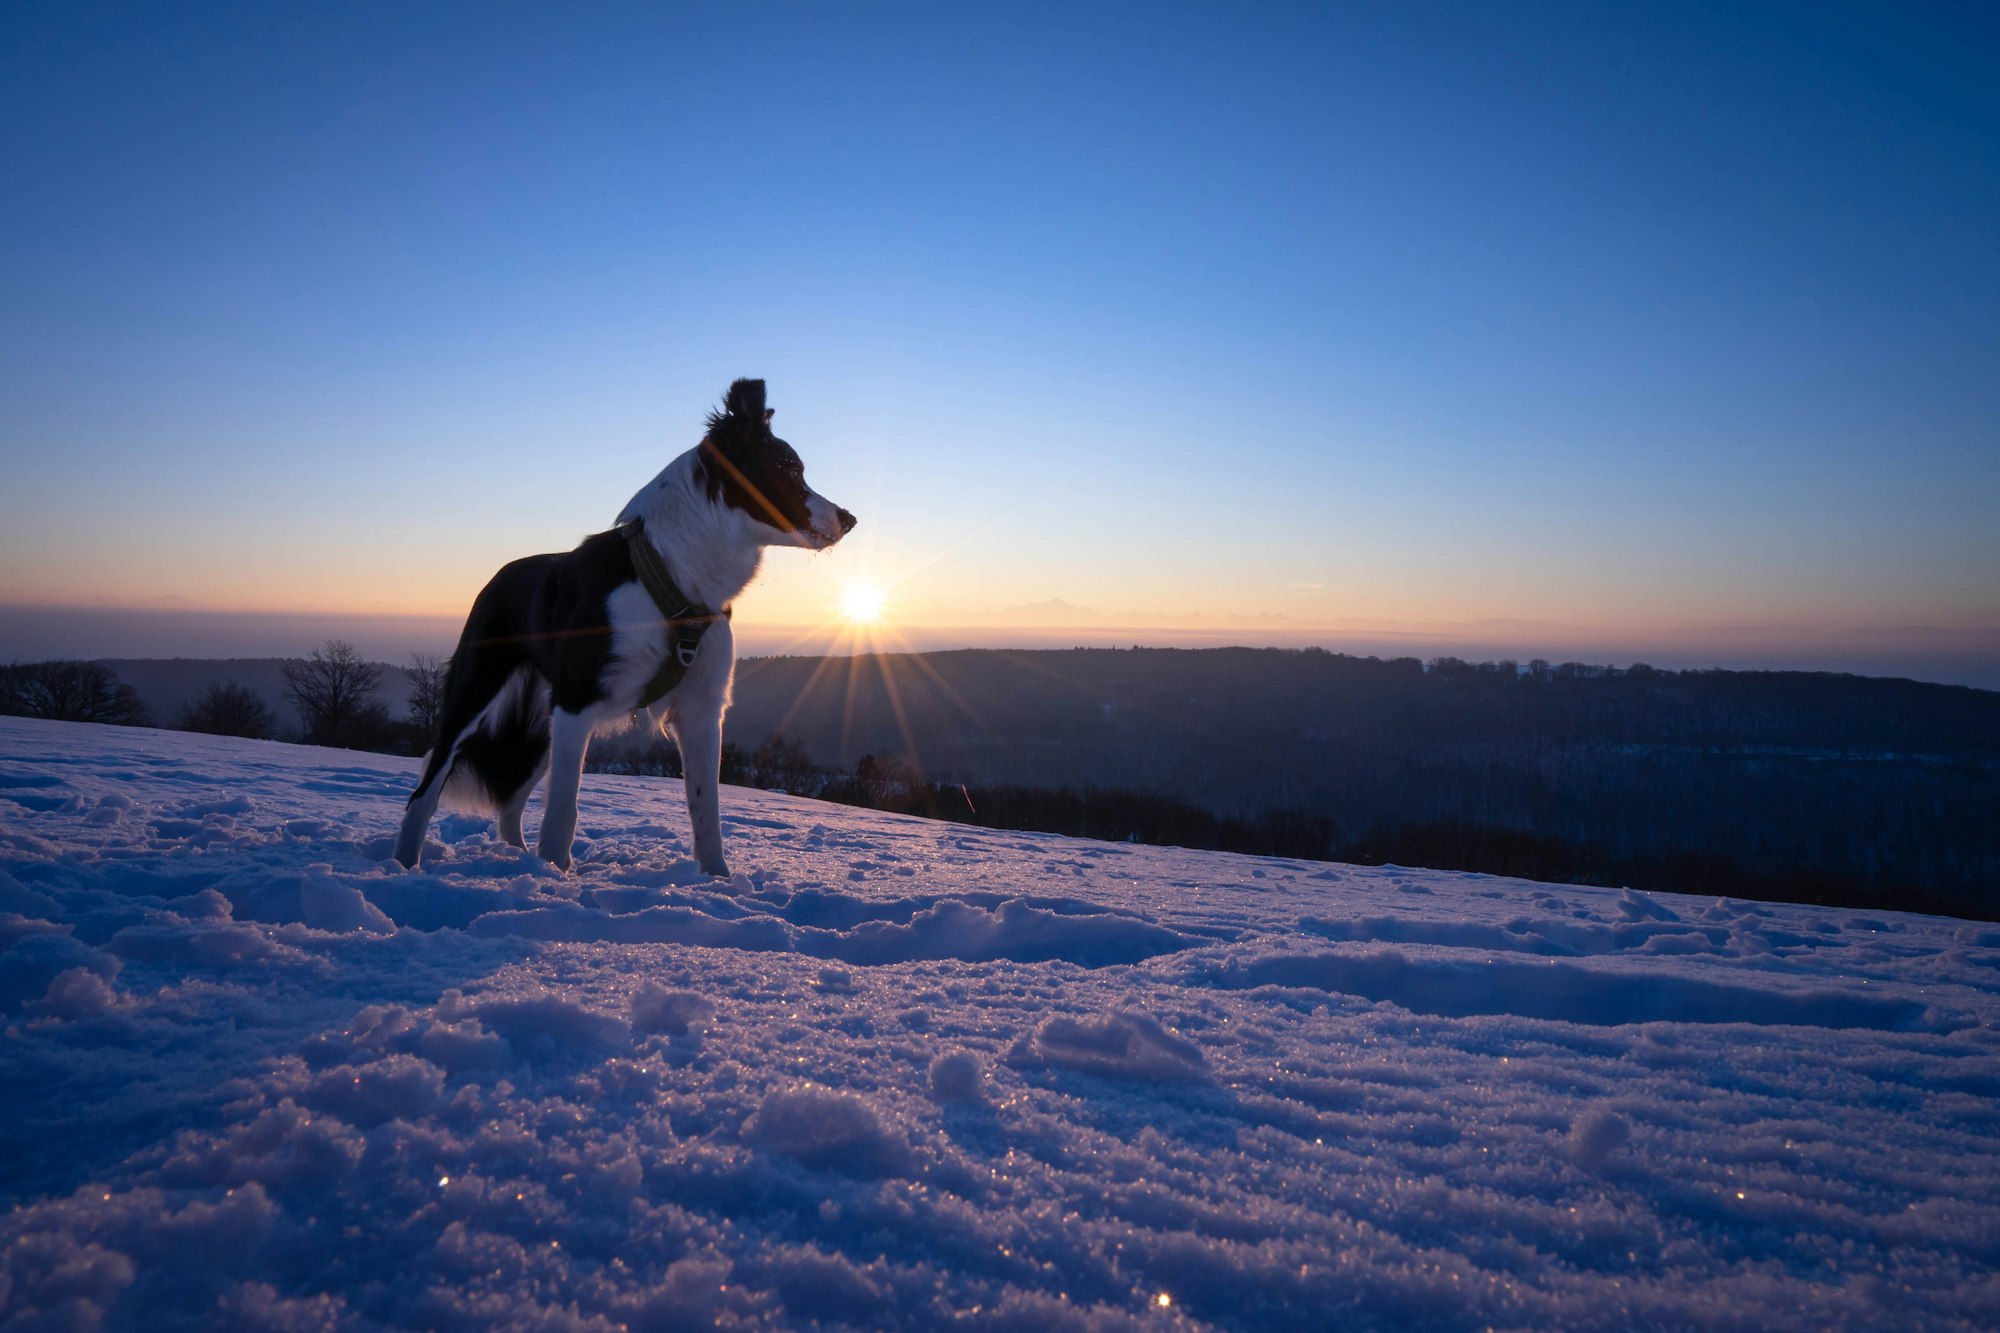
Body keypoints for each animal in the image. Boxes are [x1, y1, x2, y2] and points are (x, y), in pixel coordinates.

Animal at [394, 376, 856, 872]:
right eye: (789, 468)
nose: (850, 518)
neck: (676, 573)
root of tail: (499, 575)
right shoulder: (578, 700)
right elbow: (564, 811)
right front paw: (555, 878)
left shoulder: (702, 709)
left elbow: (707, 811)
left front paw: (718, 880)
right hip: (478, 692)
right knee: (425, 792)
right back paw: (405, 866)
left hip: (542, 724)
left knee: (510, 805)